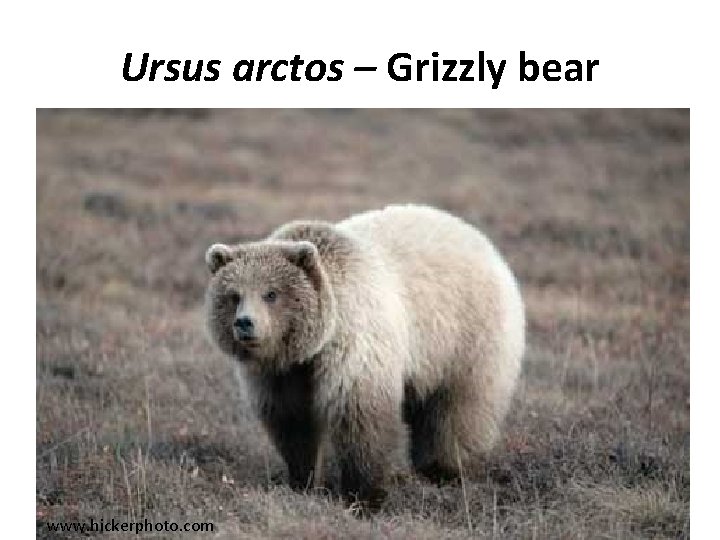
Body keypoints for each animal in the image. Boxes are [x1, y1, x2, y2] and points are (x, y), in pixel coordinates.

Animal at [204, 204, 525, 506]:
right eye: (233, 295)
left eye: (271, 293)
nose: (245, 323)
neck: (312, 347)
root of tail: (480, 239)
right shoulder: (281, 375)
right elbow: (292, 423)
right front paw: (302, 481)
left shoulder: (355, 344)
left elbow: (360, 417)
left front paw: (363, 496)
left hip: (465, 337)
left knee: (457, 410)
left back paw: (443, 471)